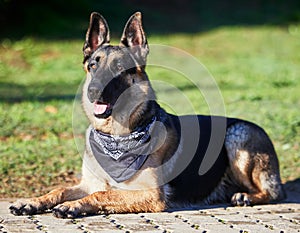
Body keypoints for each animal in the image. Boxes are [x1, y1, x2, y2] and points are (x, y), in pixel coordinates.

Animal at [9, 11, 286, 218]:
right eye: (93, 65)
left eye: (119, 67)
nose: (93, 90)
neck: (116, 135)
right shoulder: (88, 183)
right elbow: (60, 189)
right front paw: (32, 201)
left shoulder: (151, 194)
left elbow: (102, 194)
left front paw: (73, 206)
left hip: (237, 137)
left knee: (274, 193)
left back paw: (246, 196)